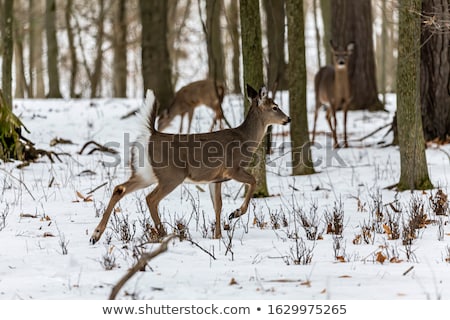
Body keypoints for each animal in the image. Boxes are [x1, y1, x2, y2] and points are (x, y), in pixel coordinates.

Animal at [89, 84, 290, 244]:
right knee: (151, 198)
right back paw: (164, 234)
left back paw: (95, 235)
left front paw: (217, 236)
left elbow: (218, 205)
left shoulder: (214, 179)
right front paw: (236, 213)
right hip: (172, 175)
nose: (288, 119)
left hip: (145, 173)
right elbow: (254, 181)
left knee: (119, 188)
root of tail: (151, 134)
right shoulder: (232, 169)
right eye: (275, 107)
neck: (244, 139)